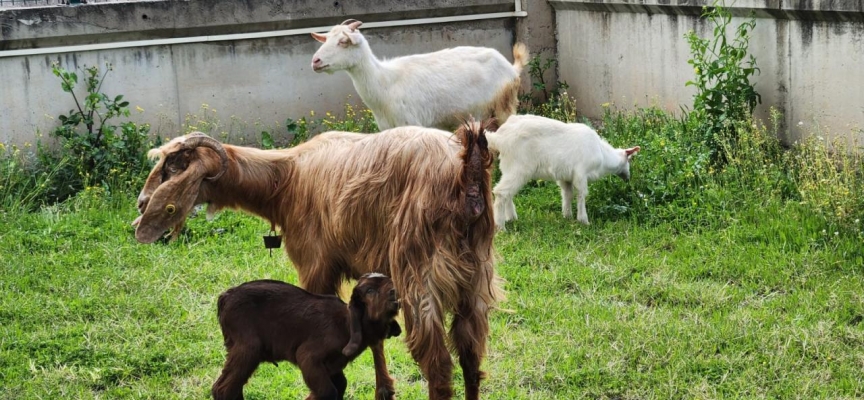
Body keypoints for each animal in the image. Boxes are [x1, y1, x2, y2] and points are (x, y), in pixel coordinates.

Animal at [211, 272, 400, 400]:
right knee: (222, 388)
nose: (395, 292)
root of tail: (225, 297)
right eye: (370, 290)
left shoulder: (333, 366)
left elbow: (339, 385)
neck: (345, 325)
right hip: (248, 347)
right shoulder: (308, 357)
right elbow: (327, 391)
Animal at [310, 19, 528, 130]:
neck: (385, 83)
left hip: (504, 106)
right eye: (326, 39)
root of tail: (511, 67)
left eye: (343, 42)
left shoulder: (412, 123)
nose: (315, 61)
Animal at [486, 114, 640, 230]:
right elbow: (581, 195)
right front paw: (583, 220)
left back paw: (512, 218)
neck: (603, 155)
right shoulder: (581, 173)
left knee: (508, 194)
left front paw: (567, 216)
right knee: (501, 192)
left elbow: (567, 194)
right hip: (519, 167)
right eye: (629, 160)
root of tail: (499, 138)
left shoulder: (565, 176)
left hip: (509, 168)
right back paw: (501, 227)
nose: (628, 178)